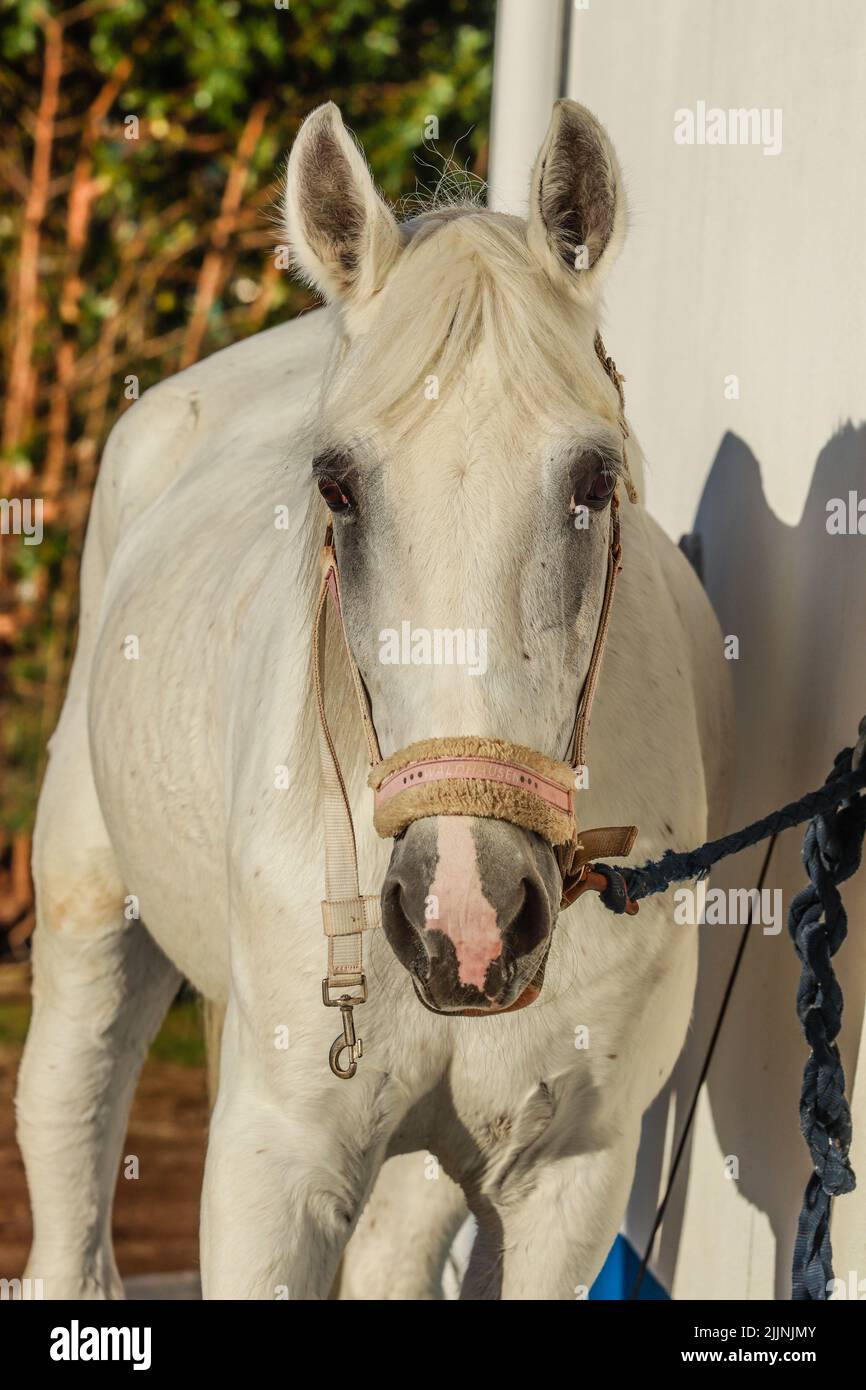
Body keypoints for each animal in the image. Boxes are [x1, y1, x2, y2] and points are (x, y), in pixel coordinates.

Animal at [16, 99, 732, 1299]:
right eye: (336, 485)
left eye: (596, 480)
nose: (465, 916)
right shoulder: (271, 1174)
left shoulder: (567, 1181)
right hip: (90, 919)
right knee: (66, 1146)